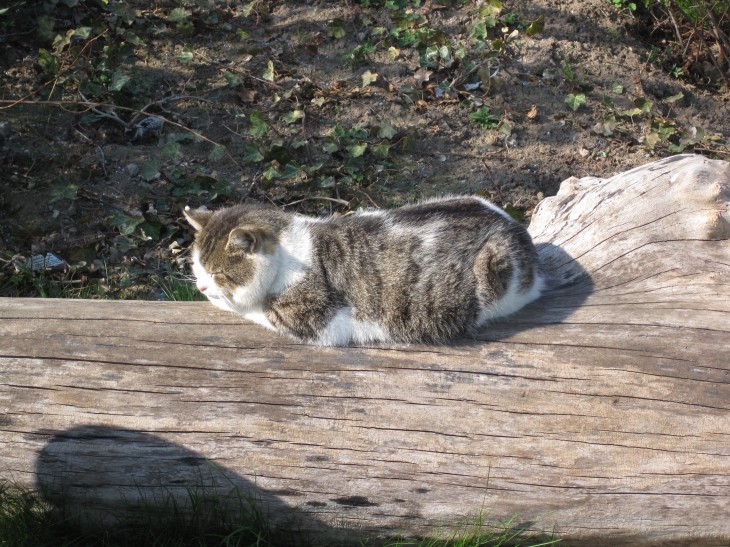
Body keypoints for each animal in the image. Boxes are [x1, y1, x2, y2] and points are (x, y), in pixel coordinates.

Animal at [185, 195, 544, 344]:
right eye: (197, 267)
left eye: (217, 274)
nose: (200, 287)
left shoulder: (321, 322)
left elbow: (253, 310)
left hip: (493, 274)